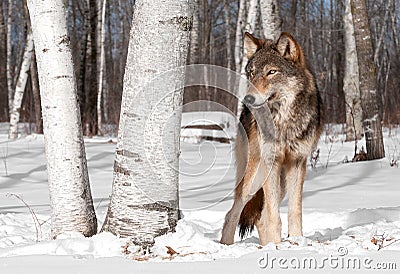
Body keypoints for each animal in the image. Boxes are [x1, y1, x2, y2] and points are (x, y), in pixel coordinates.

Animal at [220, 31, 324, 244]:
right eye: (251, 73)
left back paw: (265, 244)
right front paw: (277, 245)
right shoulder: (271, 162)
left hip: (280, 183)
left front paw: (297, 241)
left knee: (260, 217)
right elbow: (274, 216)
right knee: (233, 212)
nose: (248, 99)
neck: (284, 121)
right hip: (254, 179)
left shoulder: (297, 163)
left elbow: (294, 211)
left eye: (271, 72)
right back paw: (227, 245)